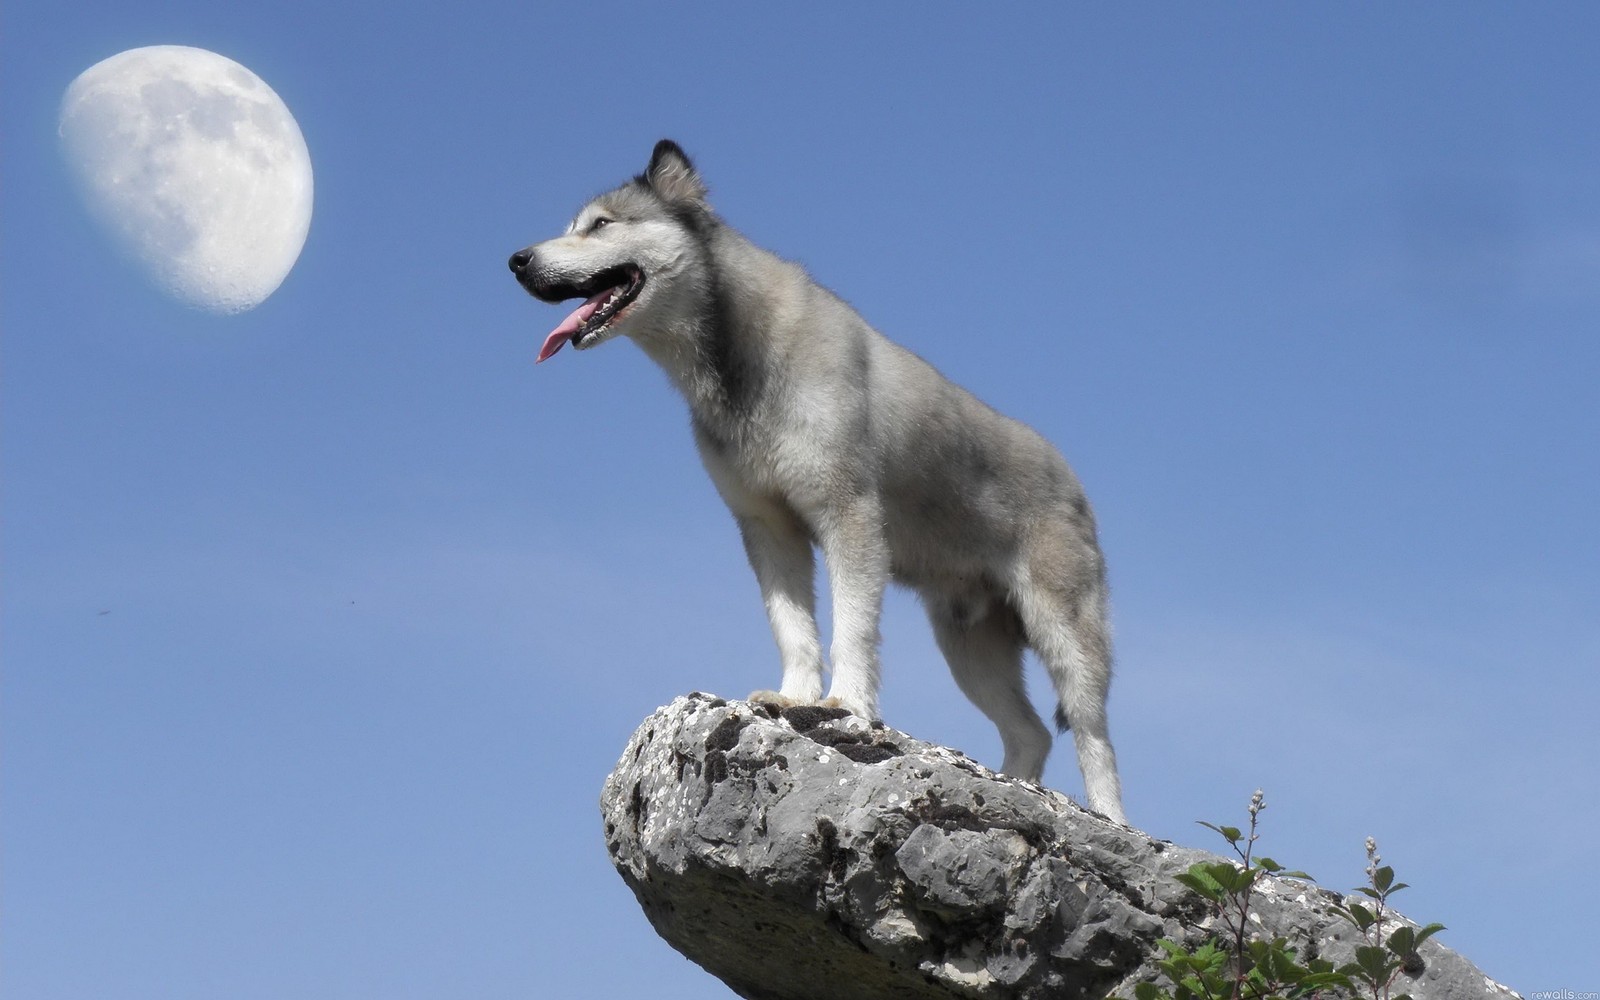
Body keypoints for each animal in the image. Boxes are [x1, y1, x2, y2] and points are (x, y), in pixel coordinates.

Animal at [512, 142, 1126, 825]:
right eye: (574, 225)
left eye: (600, 225)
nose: (518, 260)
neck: (737, 359)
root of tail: (1072, 480)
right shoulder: (767, 526)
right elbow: (793, 625)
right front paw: (792, 696)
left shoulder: (847, 513)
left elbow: (851, 625)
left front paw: (845, 704)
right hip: (969, 647)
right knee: (1032, 732)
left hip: (1067, 634)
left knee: (1094, 737)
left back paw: (1110, 818)